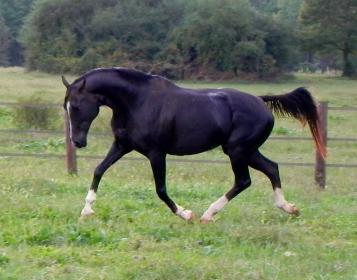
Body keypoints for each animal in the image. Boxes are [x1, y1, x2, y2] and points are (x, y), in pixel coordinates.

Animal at [62, 68, 326, 223]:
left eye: (76, 106)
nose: (78, 142)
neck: (137, 101)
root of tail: (261, 102)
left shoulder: (156, 153)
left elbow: (160, 189)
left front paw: (185, 213)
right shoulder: (122, 145)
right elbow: (99, 170)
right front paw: (87, 210)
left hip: (237, 151)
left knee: (244, 181)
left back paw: (208, 214)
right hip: (247, 151)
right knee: (272, 168)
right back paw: (289, 208)